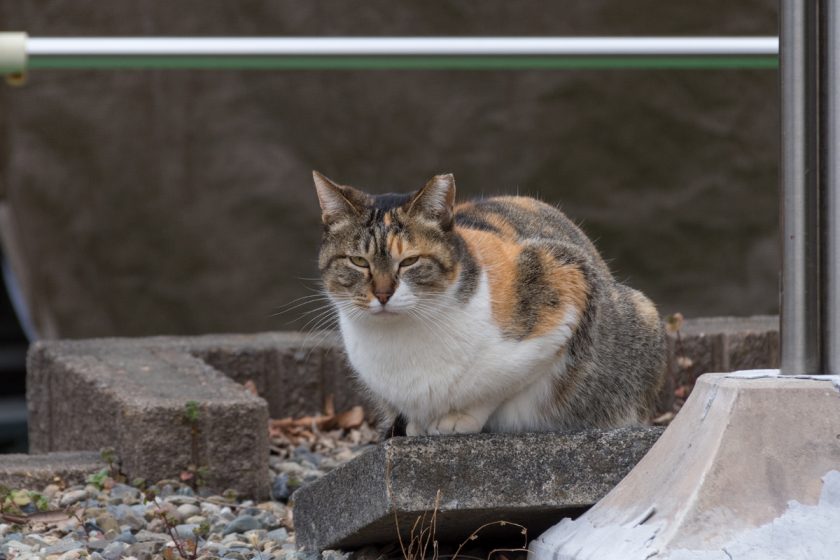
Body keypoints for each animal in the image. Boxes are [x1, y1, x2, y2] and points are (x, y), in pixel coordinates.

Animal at [312, 173, 668, 436]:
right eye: (359, 261)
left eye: (410, 261)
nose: (383, 294)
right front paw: (415, 425)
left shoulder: (565, 280)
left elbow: (497, 386)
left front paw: (458, 418)